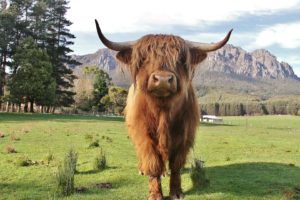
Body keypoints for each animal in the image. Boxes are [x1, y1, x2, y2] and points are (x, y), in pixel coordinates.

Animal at [95, 19, 232, 199]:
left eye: (180, 59)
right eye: (144, 58)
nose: (162, 79)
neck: (163, 112)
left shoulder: (184, 135)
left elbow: (176, 165)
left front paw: (176, 192)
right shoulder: (144, 134)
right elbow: (152, 161)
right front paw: (155, 193)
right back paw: (143, 170)